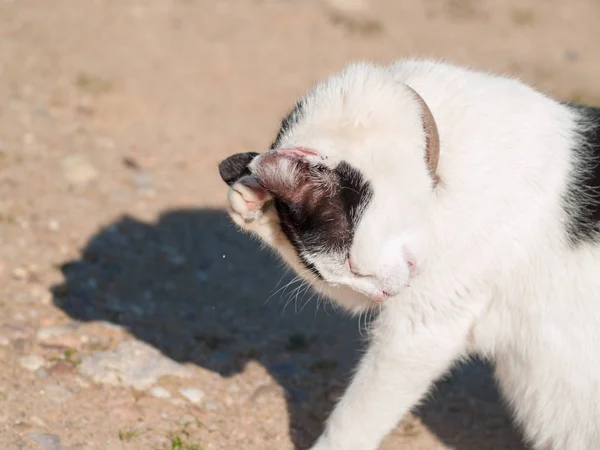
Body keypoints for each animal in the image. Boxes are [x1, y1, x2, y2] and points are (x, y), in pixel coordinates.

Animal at [218, 59, 600, 450]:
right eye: (339, 277)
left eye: (353, 263)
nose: (384, 294)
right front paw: (250, 201)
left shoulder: (419, 331)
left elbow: (353, 420)